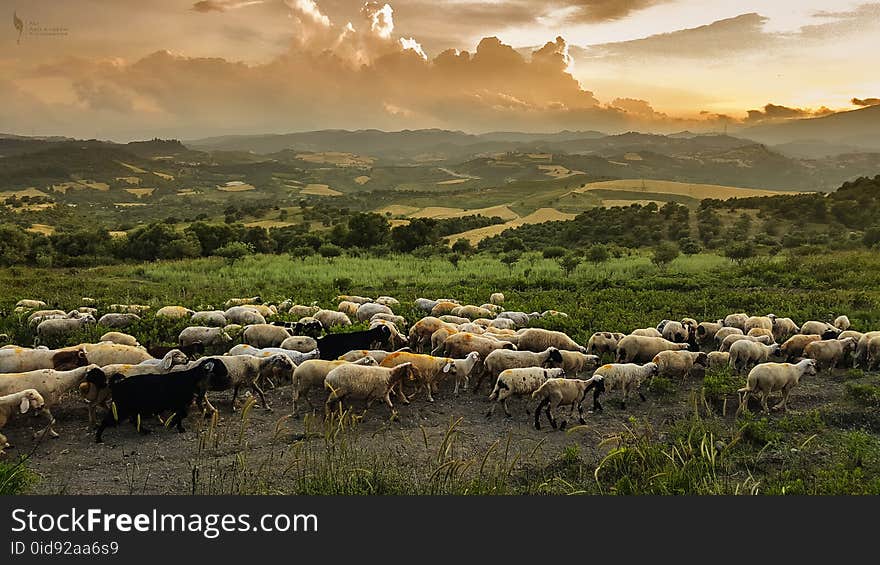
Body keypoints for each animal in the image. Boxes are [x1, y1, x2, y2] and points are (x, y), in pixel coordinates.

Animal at [93, 356, 232, 440]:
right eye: (219, 364)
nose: (227, 373)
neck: (192, 378)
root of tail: (117, 385)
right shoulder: (180, 403)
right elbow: (181, 415)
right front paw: (173, 424)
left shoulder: (180, 404)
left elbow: (181, 415)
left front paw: (178, 427)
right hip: (121, 407)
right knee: (107, 420)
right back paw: (98, 438)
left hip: (130, 407)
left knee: (134, 420)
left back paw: (144, 431)